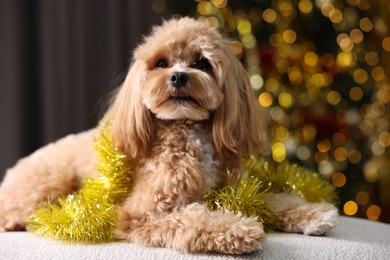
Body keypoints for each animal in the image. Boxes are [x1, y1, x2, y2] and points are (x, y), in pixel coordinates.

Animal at [0, 17, 336, 254]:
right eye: (161, 63)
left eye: (201, 63)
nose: (177, 76)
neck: (189, 130)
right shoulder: (146, 212)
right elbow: (192, 218)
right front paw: (238, 230)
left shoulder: (239, 188)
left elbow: (274, 198)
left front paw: (312, 213)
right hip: (51, 183)